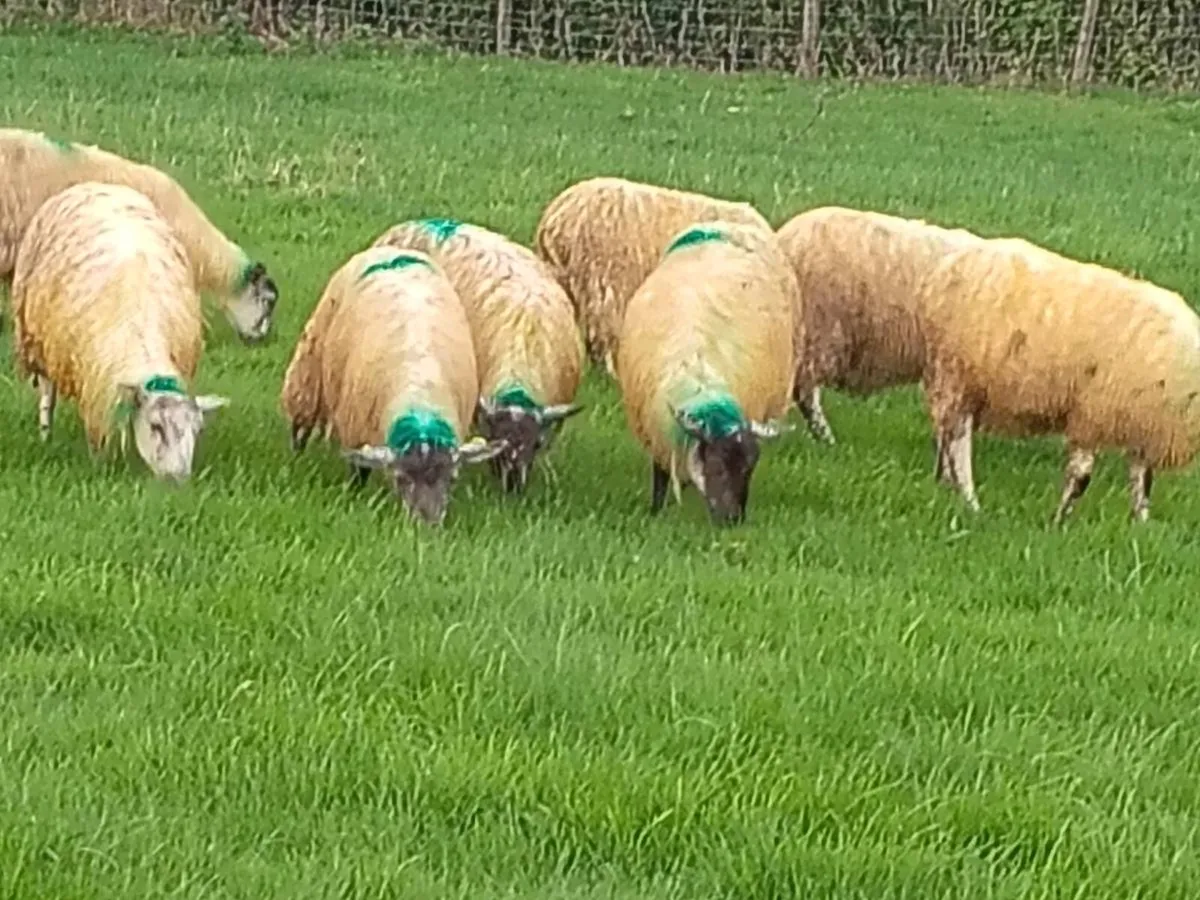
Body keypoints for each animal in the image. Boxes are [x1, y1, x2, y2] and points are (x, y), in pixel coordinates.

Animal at [11, 182, 230, 481]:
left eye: (197, 430)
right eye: (156, 426)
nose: (178, 480)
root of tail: (97, 184)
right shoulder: (96, 381)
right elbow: (99, 430)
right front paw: (100, 464)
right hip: (38, 338)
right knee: (47, 394)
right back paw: (46, 434)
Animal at [279, 245, 506, 526]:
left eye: (452, 478)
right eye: (401, 478)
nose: (427, 526)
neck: (420, 395)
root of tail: (392, 250)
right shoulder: (356, 431)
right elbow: (359, 471)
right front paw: (354, 497)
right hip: (312, 357)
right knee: (303, 413)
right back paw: (297, 452)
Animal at [615, 220, 797, 524]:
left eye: (749, 469)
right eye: (717, 465)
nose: (732, 520)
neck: (702, 382)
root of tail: (723, 223)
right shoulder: (657, 434)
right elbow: (660, 478)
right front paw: (656, 511)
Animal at [917, 236, 1200, 523]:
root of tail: (951, 263)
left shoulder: (1144, 425)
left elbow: (1141, 481)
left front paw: (1140, 523)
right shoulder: (1094, 414)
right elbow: (1082, 476)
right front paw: (1059, 521)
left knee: (945, 437)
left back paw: (946, 486)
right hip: (958, 375)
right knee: (957, 444)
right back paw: (971, 501)